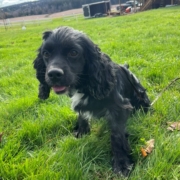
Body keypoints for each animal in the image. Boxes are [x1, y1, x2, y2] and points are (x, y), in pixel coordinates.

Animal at [32, 26, 150, 176]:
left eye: (74, 52)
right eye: (46, 53)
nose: (53, 74)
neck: (84, 84)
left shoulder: (119, 108)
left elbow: (117, 137)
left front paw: (122, 164)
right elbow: (82, 116)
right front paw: (82, 132)